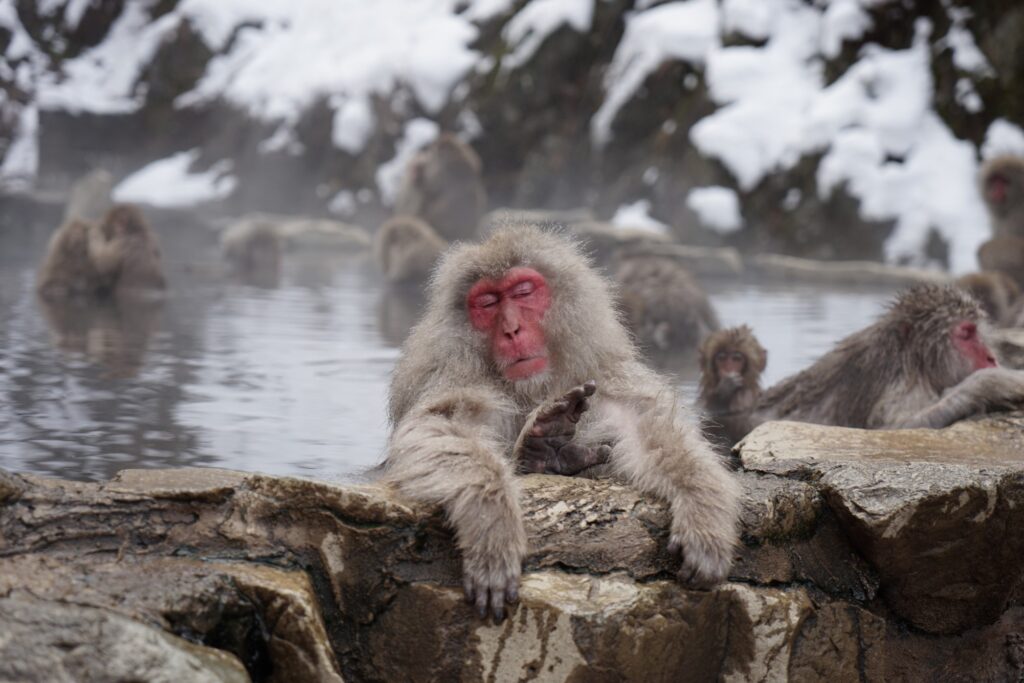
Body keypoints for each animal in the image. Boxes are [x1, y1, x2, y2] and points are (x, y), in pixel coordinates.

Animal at [749, 286, 1024, 430]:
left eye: (977, 331)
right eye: (966, 334)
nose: (990, 358)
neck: (914, 361)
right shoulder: (900, 386)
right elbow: (897, 427)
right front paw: (997, 382)